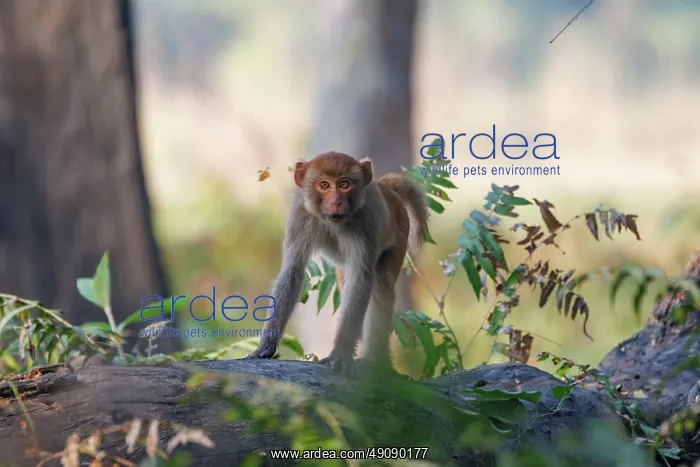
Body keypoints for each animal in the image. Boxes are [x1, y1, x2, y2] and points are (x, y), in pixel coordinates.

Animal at [245, 151, 430, 377]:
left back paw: (374, 360)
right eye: (324, 185)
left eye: (344, 184)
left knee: (380, 289)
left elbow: (361, 278)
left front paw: (340, 356)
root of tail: (387, 189)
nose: (335, 202)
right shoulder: (300, 215)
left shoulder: (366, 221)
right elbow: (292, 271)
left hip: (399, 236)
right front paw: (265, 347)